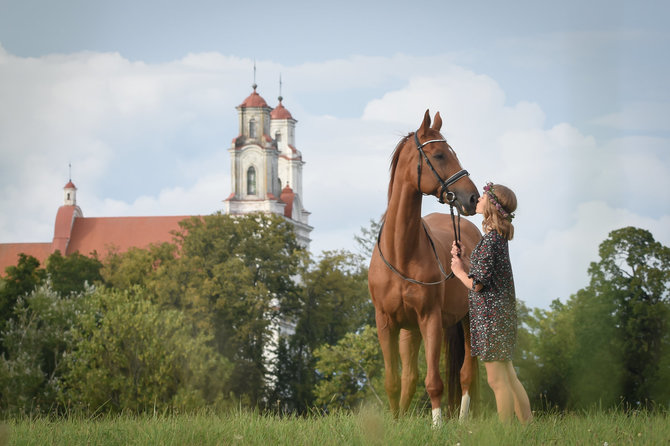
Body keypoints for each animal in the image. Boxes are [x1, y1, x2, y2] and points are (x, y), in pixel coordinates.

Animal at [368, 110, 484, 426]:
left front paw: (437, 427)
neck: (401, 253)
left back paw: (462, 422)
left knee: (466, 375)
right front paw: (395, 424)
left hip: (466, 321)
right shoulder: (386, 323)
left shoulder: (429, 319)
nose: (472, 198)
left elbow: (434, 382)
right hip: (411, 331)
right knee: (410, 377)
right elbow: (394, 381)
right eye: (440, 155)